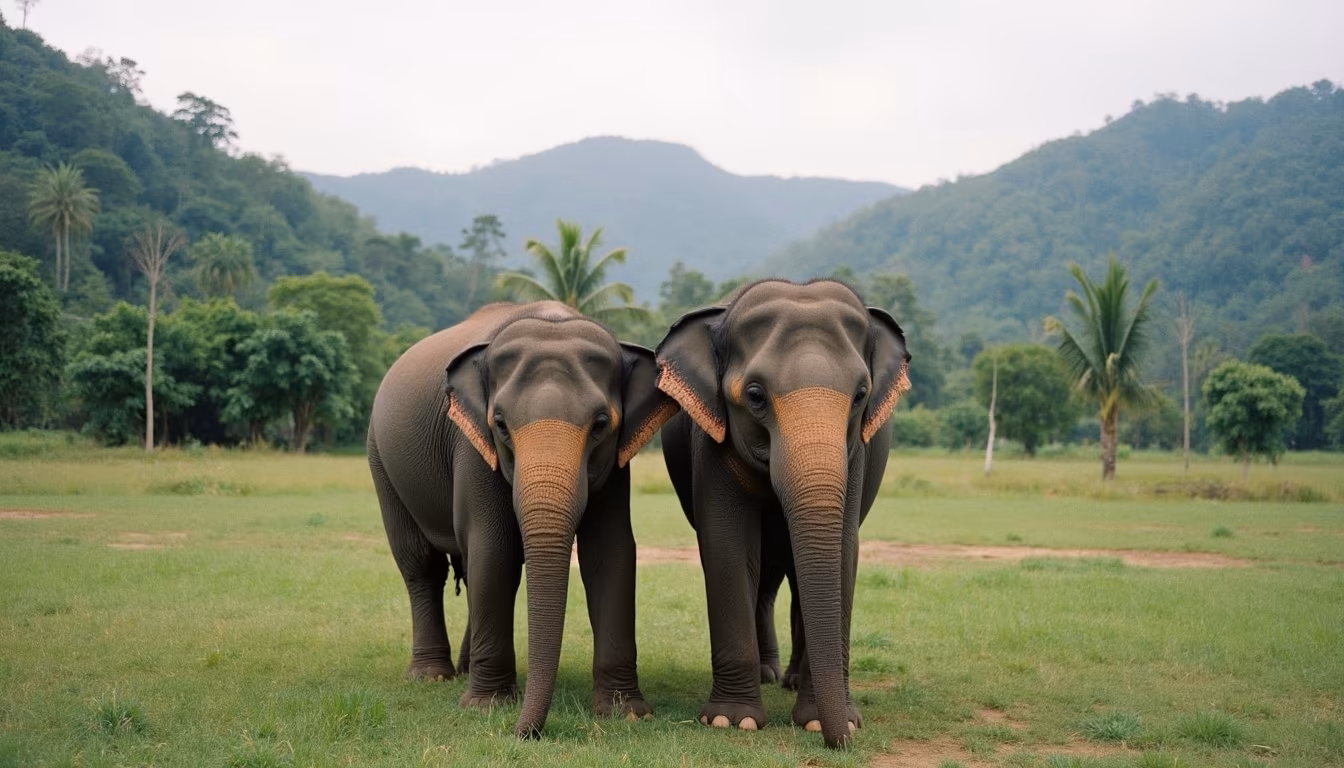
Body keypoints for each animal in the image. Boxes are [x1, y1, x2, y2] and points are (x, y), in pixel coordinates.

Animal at [366, 301, 679, 739]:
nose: (525, 733)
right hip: (380, 459)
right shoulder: (471, 444)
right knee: (421, 564)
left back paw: (464, 669)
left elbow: (611, 552)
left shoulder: (618, 462)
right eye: (500, 424)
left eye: (601, 425)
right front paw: (486, 707)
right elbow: (495, 549)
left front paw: (627, 713)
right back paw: (432, 676)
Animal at [654, 279, 910, 749]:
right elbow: (728, 546)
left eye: (860, 395)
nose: (841, 741)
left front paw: (823, 722)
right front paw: (732, 721)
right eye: (755, 396)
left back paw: (785, 680)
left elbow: (843, 551)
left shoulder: (856, 454)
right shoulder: (712, 442)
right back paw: (767, 676)